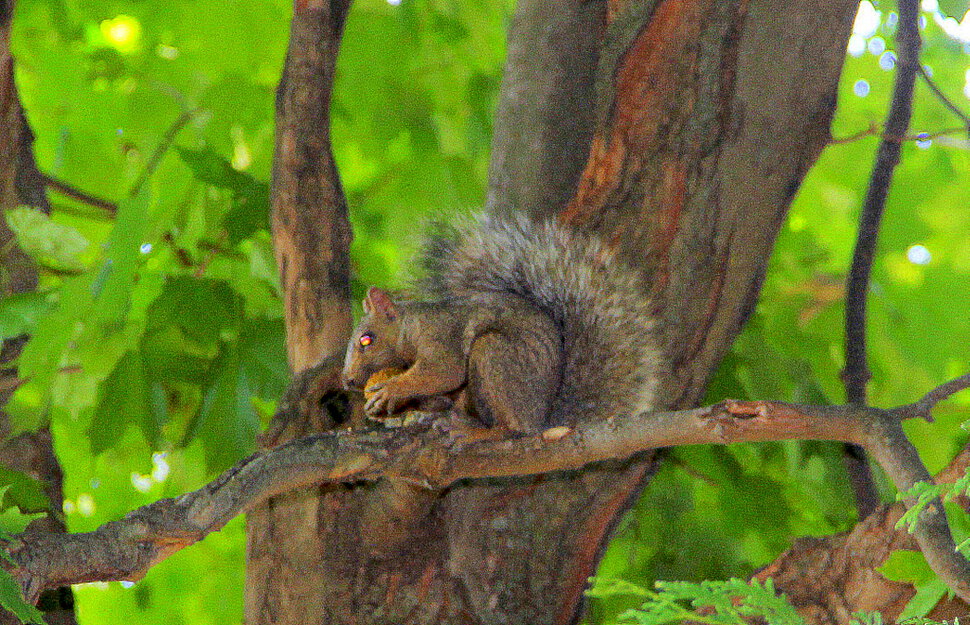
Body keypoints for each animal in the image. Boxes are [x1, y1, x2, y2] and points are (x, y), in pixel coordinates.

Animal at [340, 212, 664, 436]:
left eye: (366, 340)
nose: (348, 381)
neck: (413, 327)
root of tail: (541, 418)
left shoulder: (441, 336)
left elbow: (444, 371)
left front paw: (390, 389)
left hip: (495, 356)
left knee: (511, 428)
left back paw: (475, 432)